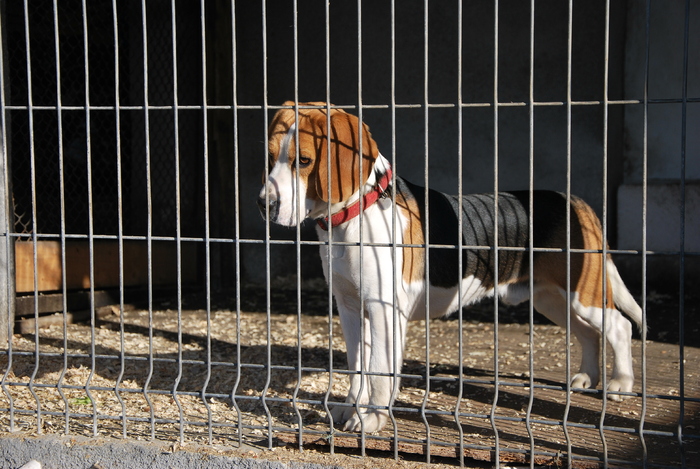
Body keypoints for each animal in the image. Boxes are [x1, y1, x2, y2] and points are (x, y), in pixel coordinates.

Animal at [258, 100, 640, 434]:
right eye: (269, 158)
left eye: (303, 160)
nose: (265, 205)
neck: (354, 214)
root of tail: (576, 201)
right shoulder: (351, 309)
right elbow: (357, 368)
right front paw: (351, 406)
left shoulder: (383, 311)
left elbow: (380, 371)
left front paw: (371, 420)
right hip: (551, 299)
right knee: (588, 333)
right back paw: (587, 377)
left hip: (582, 294)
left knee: (619, 326)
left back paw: (620, 382)